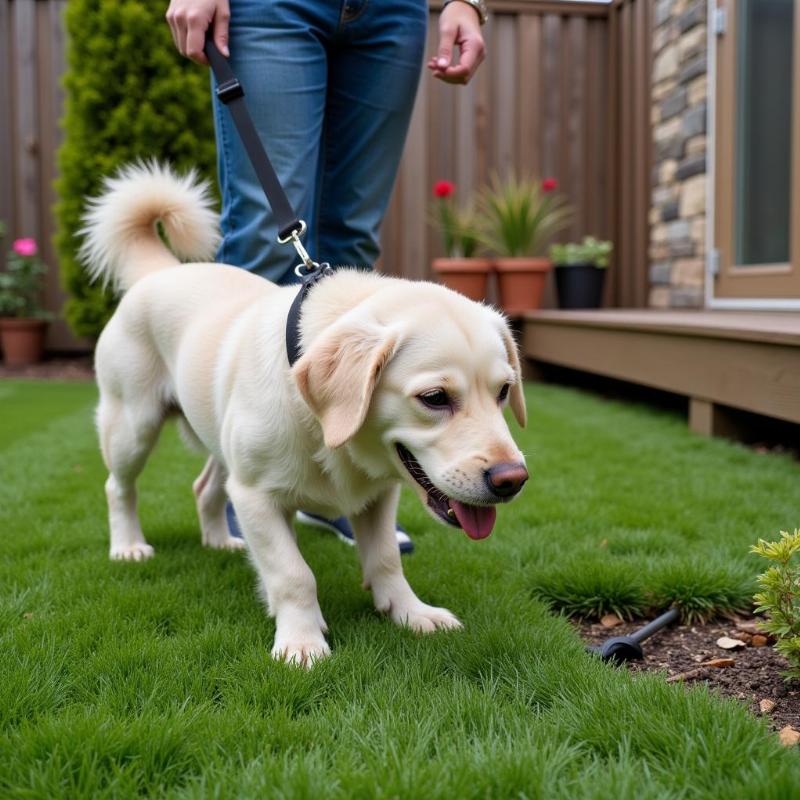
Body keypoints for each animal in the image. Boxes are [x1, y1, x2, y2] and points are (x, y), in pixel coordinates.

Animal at [83, 161, 532, 664]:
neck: (327, 431)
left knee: (204, 488)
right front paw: (301, 641)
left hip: (222, 445)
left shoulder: (379, 495)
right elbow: (293, 574)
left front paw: (410, 612)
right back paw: (129, 546)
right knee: (118, 487)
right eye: (435, 397)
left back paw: (219, 540)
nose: (512, 480)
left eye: (503, 391)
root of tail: (161, 272)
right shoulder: (256, 496)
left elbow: (385, 558)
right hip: (132, 426)